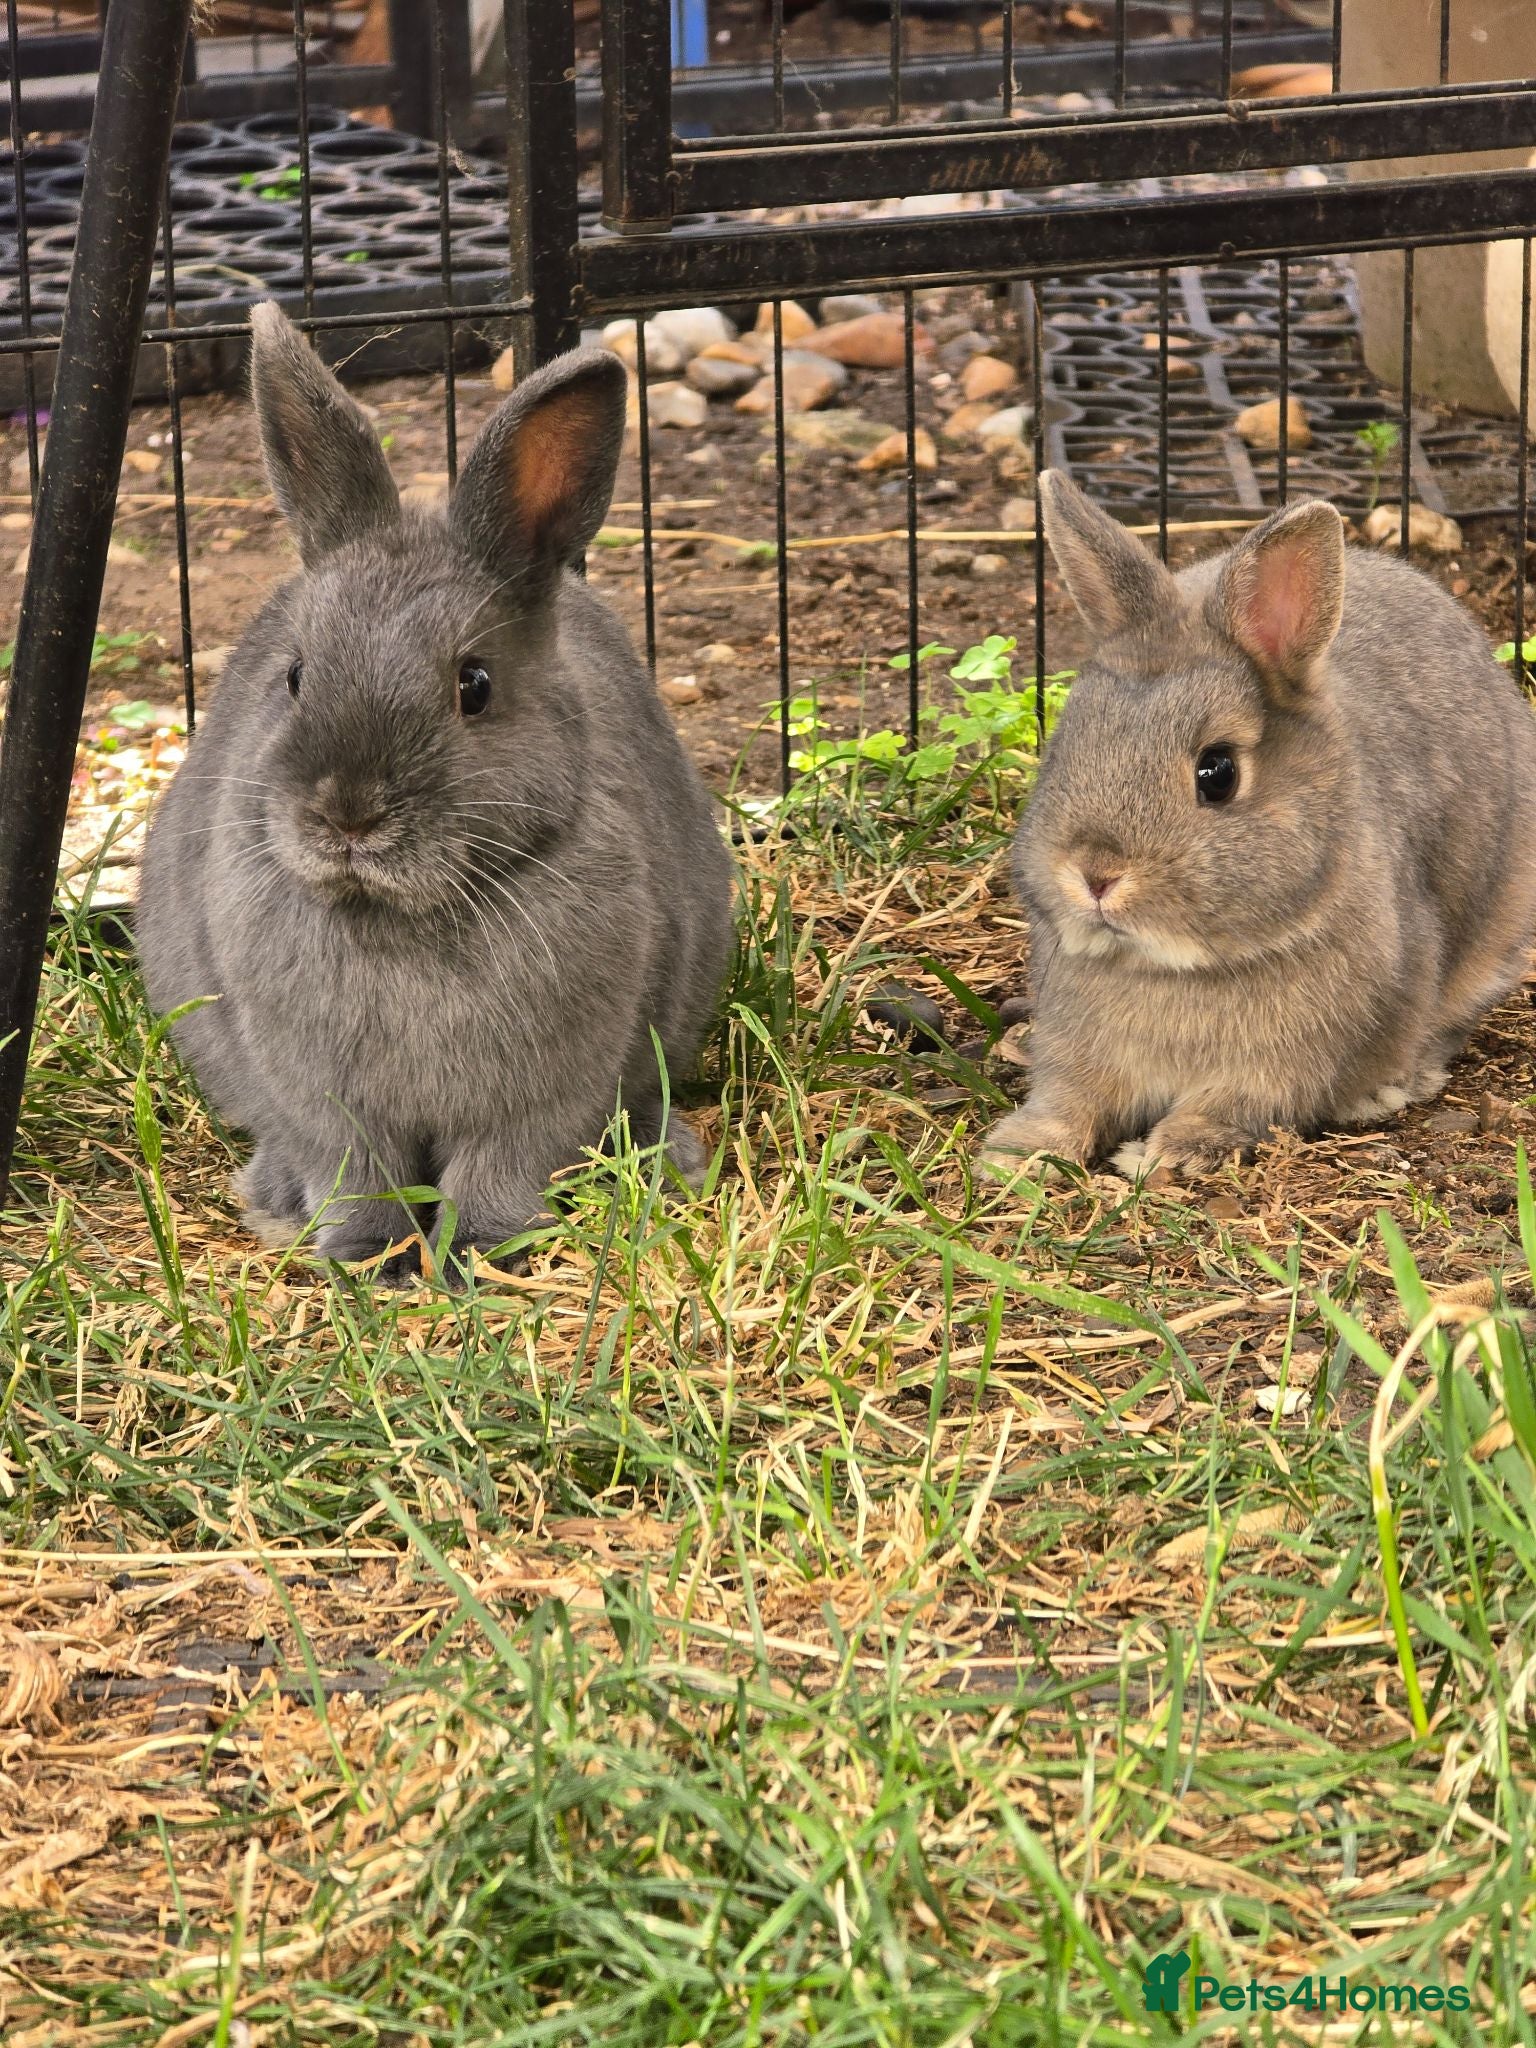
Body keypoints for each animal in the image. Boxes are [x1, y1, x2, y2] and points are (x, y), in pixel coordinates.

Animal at [136, 302, 734, 1281]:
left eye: (475, 686)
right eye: (294, 677)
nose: (348, 815)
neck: (400, 919)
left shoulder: (544, 1092)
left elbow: (502, 1163)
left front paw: (481, 1251)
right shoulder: (326, 1102)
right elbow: (354, 1170)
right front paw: (366, 1258)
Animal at [982, 470, 1536, 1179]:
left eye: (1217, 773)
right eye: (1063, 746)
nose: (1095, 876)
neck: (1175, 968)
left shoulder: (1279, 1070)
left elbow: (1231, 1107)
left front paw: (1168, 1153)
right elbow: (1069, 1101)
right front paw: (1018, 1151)